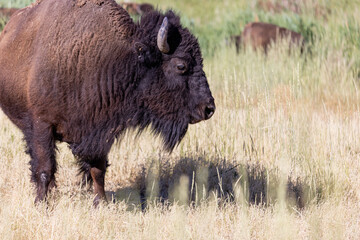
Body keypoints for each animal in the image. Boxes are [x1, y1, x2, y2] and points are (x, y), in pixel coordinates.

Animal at [0, 0, 214, 205]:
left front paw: (100, 202)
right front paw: (41, 204)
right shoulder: (42, 126)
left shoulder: (101, 131)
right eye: (181, 65)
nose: (209, 108)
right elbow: (44, 168)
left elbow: (98, 169)